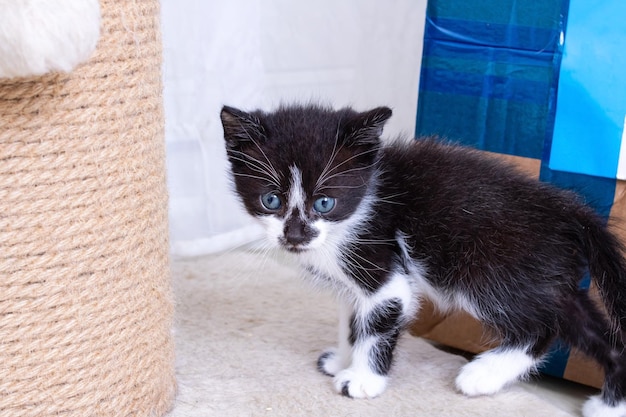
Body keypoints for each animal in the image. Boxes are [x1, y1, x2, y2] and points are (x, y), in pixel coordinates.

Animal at [218, 103, 624, 416]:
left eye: (325, 203)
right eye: (271, 199)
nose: (295, 236)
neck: (364, 203)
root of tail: (566, 210)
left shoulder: (384, 272)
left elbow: (375, 324)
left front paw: (362, 380)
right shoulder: (352, 285)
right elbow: (352, 321)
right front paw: (343, 361)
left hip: (490, 270)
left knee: (541, 328)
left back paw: (482, 375)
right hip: (546, 278)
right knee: (595, 330)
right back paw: (610, 404)